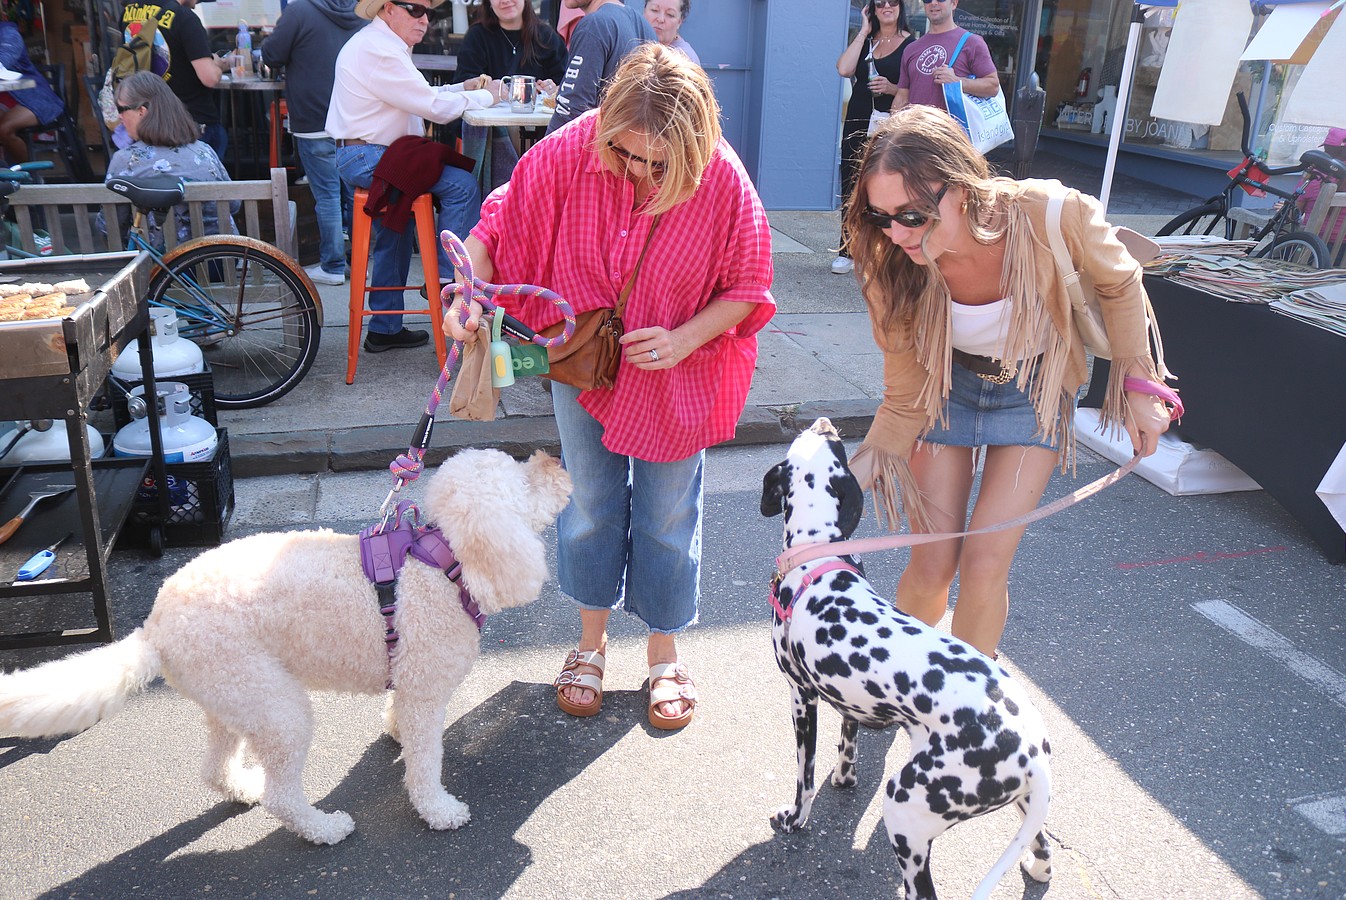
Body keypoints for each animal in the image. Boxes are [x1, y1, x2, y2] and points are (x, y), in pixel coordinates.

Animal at [759, 417, 1049, 898]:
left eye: (827, 440)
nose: (824, 421)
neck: (817, 556)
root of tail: (1032, 753)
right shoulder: (849, 701)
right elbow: (848, 745)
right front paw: (844, 779)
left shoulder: (802, 697)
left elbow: (805, 778)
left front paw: (795, 820)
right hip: (1023, 804)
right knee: (1044, 849)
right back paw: (1038, 866)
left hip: (904, 811)